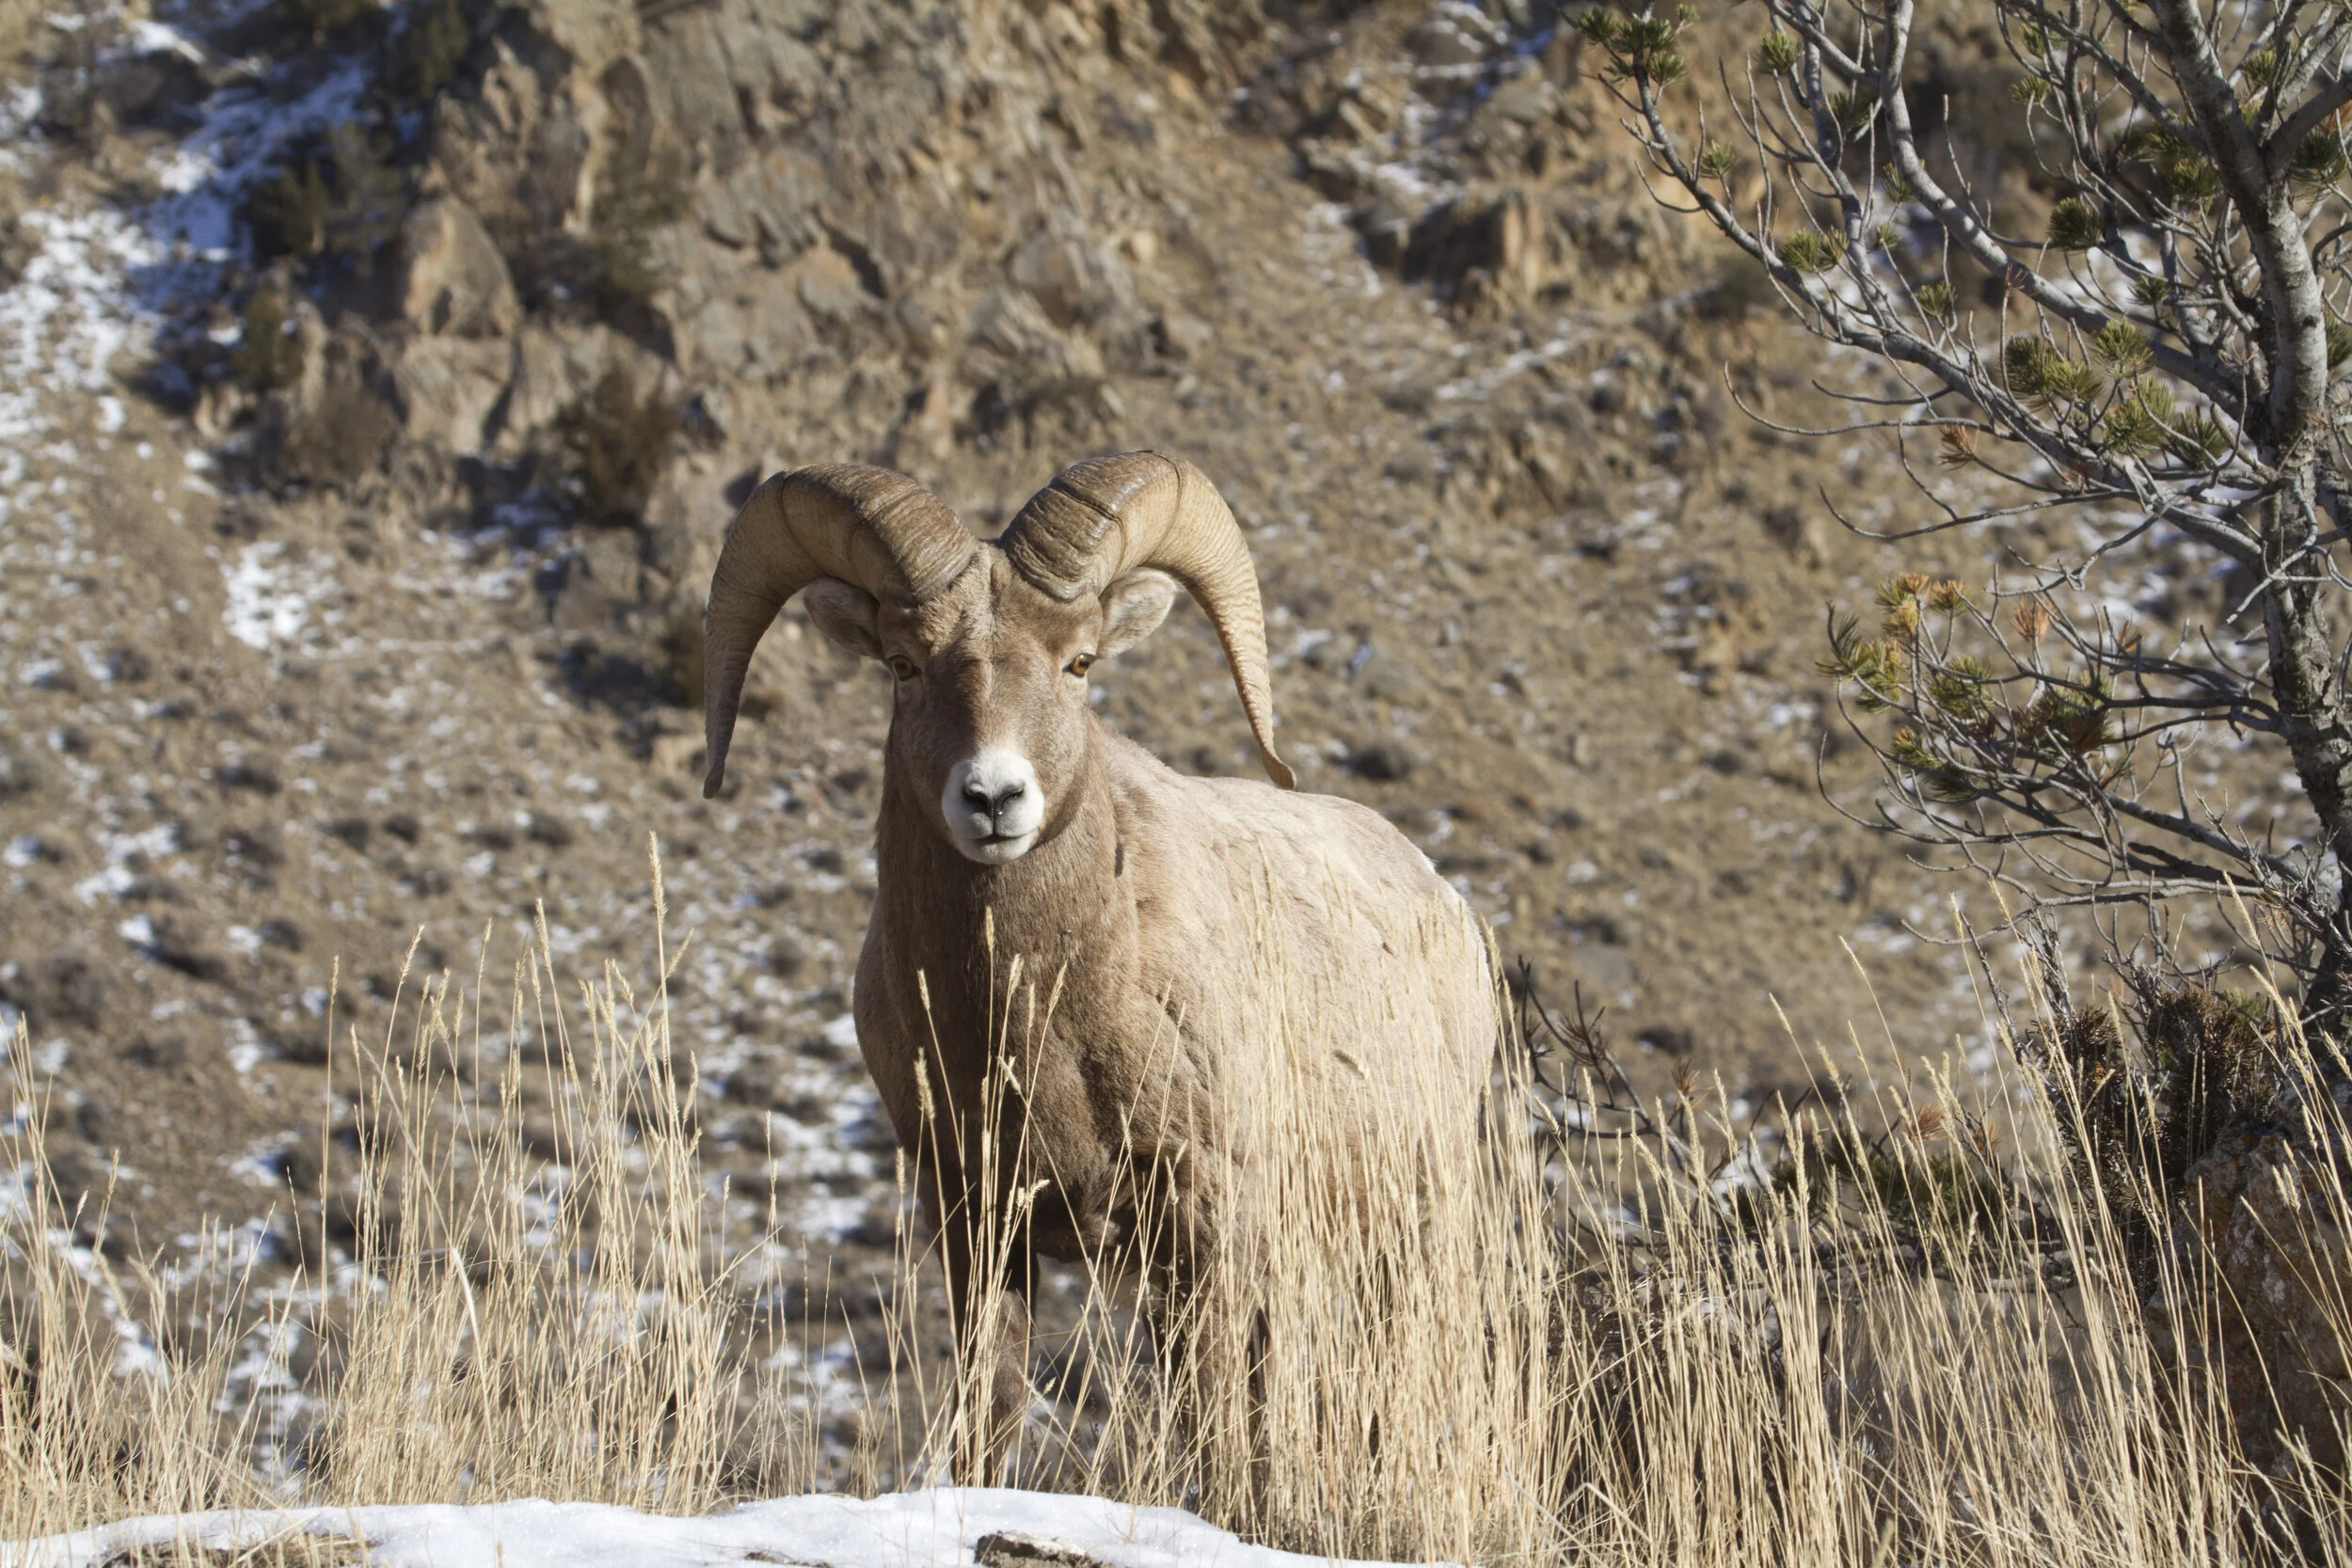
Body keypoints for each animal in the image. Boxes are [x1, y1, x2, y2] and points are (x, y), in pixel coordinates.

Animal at [700, 451, 1498, 1475]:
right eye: (903, 664)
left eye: (1078, 662)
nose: (993, 797)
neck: (1031, 1017)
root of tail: (1444, 901)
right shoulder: (973, 1216)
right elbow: (994, 1406)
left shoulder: (1205, 1216)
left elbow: (1211, 1423)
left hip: (1410, 1228)